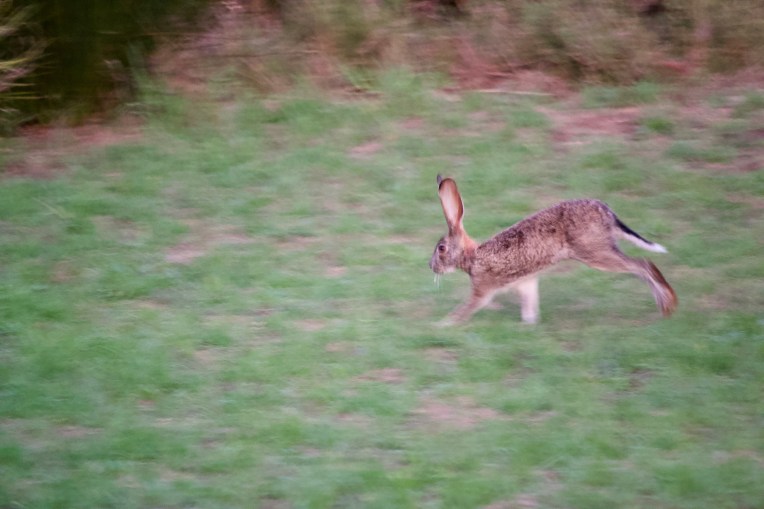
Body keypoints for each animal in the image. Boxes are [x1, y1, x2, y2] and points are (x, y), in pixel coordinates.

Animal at [429, 175, 677, 324]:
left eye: (441, 248)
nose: (430, 266)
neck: (473, 257)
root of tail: (608, 213)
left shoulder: (482, 289)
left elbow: (467, 307)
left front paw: (443, 324)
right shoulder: (526, 283)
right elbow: (529, 306)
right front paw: (529, 325)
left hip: (595, 252)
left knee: (643, 265)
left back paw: (667, 306)